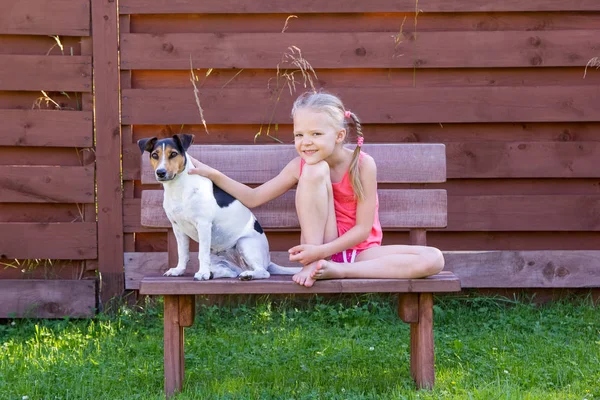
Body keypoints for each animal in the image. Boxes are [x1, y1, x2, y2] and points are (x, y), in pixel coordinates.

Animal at [139, 134, 300, 282]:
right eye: (154, 155)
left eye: (173, 154)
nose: (160, 172)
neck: (178, 188)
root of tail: (268, 260)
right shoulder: (177, 227)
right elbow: (182, 253)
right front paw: (179, 270)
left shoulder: (203, 225)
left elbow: (201, 254)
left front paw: (202, 273)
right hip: (219, 260)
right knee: (230, 272)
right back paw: (214, 273)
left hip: (244, 243)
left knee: (263, 272)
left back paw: (247, 274)